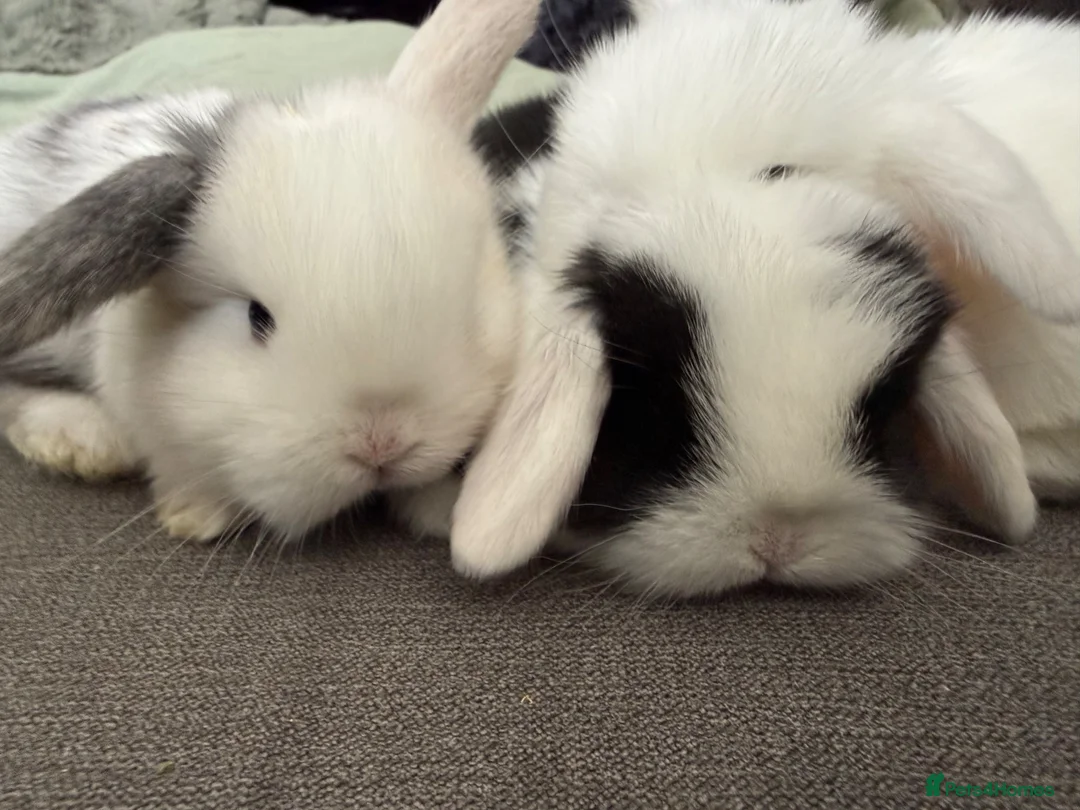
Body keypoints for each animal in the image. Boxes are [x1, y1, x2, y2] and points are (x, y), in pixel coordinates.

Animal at [0, 0, 543, 544]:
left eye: (471, 310)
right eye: (256, 318)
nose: (381, 444)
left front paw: (442, 509)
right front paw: (196, 515)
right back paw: (82, 440)